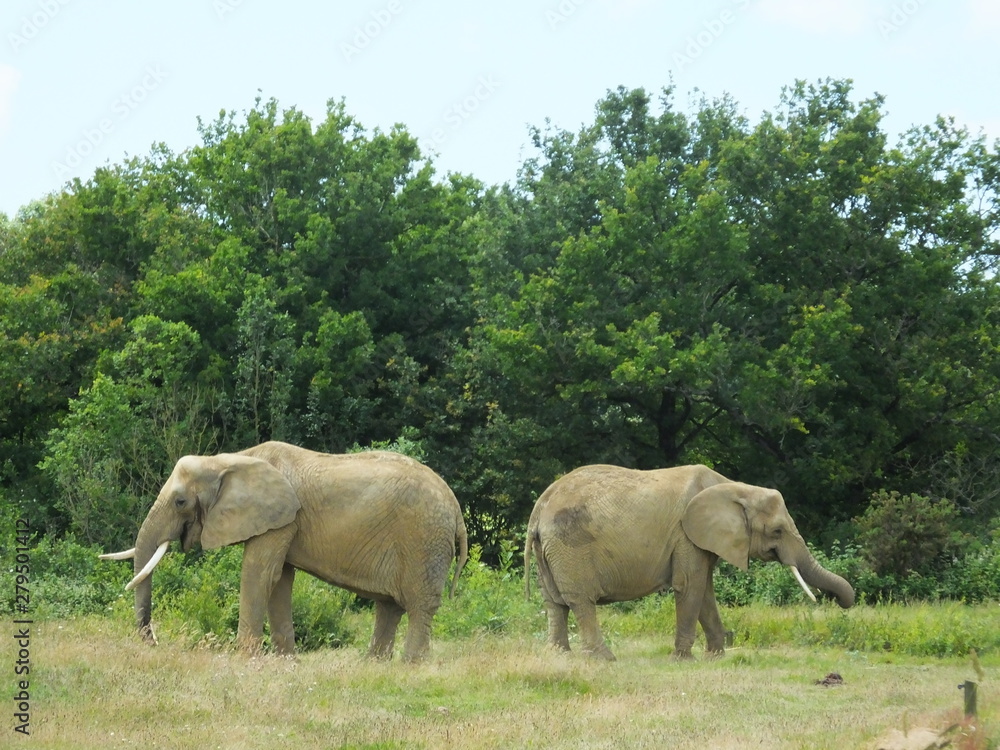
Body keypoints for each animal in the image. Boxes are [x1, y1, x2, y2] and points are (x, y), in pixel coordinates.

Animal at [100, 441, 468, 662]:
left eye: (180, 502)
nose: (153, 642)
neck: (229, 459)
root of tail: (455, 507)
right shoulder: (283, 522)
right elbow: (279, 581)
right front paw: (285, 660)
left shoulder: (279, 521)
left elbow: (259, 574)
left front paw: (245, 659)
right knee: (389, 606)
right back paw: (375, 664)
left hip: (423, 539)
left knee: (418, 606)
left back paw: (411, 666)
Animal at [524, 463, 854, 660]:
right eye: (777, 531)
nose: (840, 603)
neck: (735, 487)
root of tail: (540, 507)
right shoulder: (686, 535)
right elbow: (690, 587)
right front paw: (684, 660)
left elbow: (705, 591)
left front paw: (716, 658)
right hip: (570, 545)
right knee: (580, 601)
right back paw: (604, 659)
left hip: (550, 548)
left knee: (554, 602)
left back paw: (559, 656)